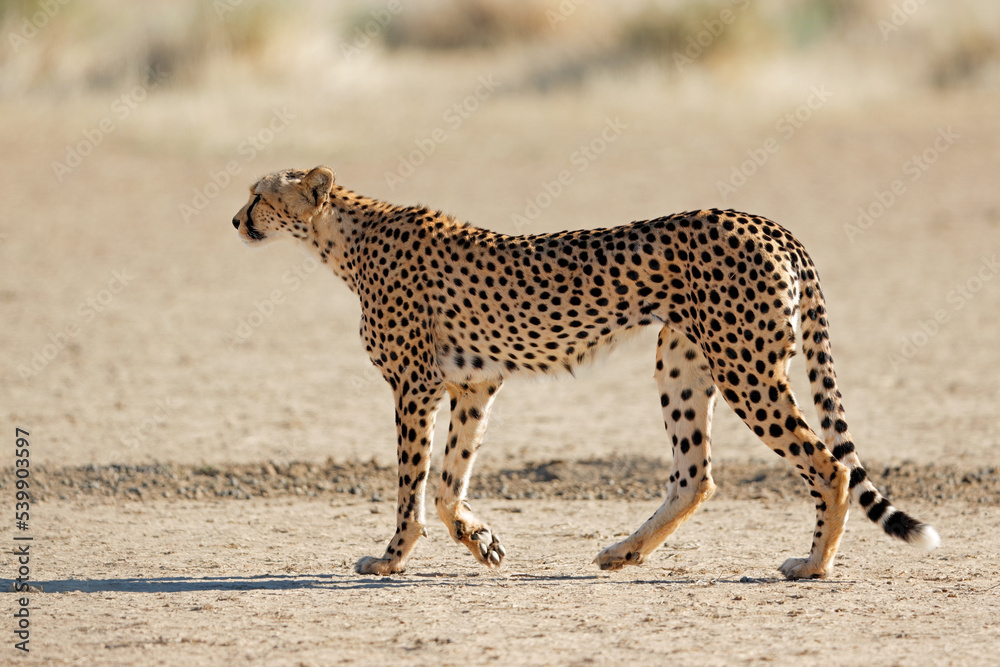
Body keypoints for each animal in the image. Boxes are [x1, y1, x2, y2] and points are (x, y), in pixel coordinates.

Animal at [232, 165, 939, 580]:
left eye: (260, 195)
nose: (236, 219)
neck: (344, 237)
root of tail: (766, 222)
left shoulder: (416, 386)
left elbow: (412, 483)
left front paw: (390, 558)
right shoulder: (474, 383)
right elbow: (449, 481)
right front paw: (480, 541)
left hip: (747, 368)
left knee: (829, 465)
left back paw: (813, 565)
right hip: (682, 360)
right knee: (696, 475)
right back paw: (625, 552)